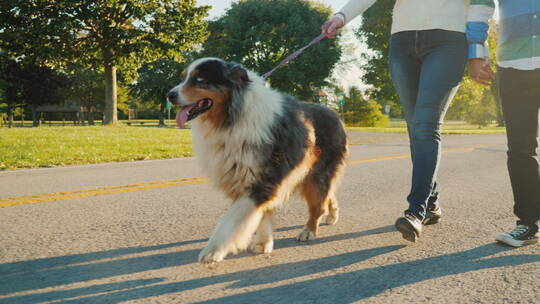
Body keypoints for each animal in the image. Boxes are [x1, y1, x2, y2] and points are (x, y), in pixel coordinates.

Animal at [167, 58, 348, 262]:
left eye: (199, 80)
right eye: (184, 78)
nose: (169, 95)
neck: (232, 118)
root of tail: (335, 114)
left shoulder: (262, 180)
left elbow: (232, 220)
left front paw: (213, 251)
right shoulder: (248, 179)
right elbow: (262, 215)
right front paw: (264, 243)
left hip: (317, 173)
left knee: (318, 204)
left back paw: (309, 231)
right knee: (328, 195)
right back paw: (332, 214)